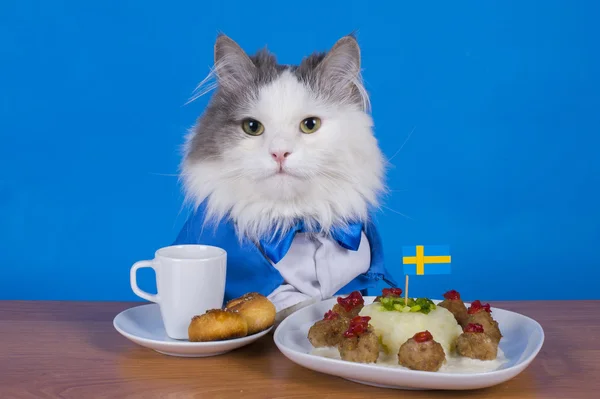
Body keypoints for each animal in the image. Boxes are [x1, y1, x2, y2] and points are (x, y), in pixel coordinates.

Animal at [173, 32, 398, 318]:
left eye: (310, 125)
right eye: (252, 127)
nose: (280, 153)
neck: (298, 224)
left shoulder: (357, 278)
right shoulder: (267, 284)